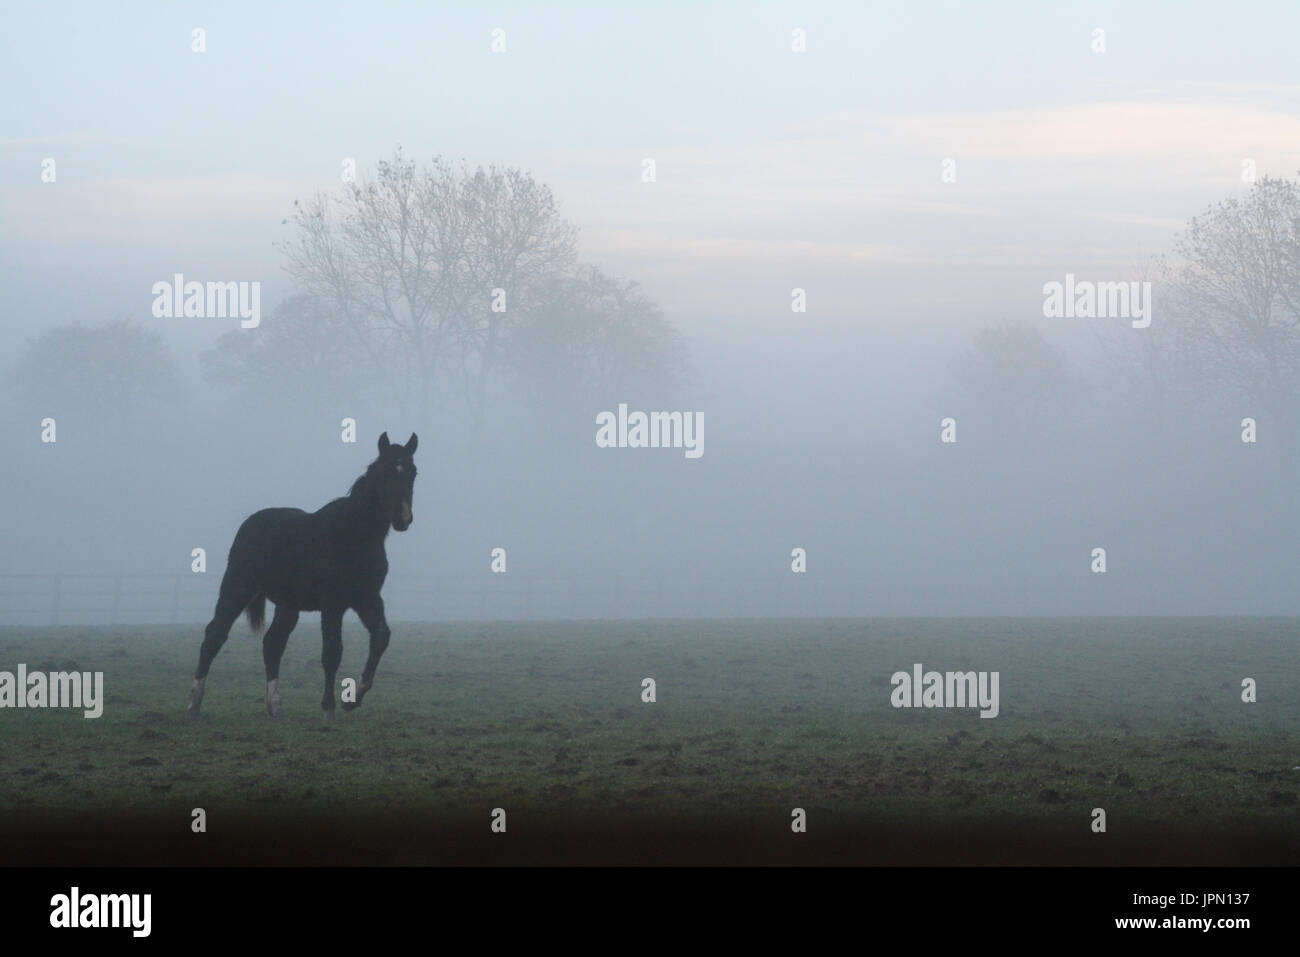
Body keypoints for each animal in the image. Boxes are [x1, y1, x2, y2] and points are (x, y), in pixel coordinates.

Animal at [186, 432, 418, 719]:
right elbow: (332, 651)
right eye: (384, 472)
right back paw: (194, 703)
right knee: (215, 634)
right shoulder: (333, 603)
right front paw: (329, 708)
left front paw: (353, 699)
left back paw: (275, 705)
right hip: (237, 586)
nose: (403, 518)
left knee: (272, 643)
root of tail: (250, 523)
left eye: (413, 473)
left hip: (288, 605)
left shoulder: (368, 598)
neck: (353, 535)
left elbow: (380, 637)